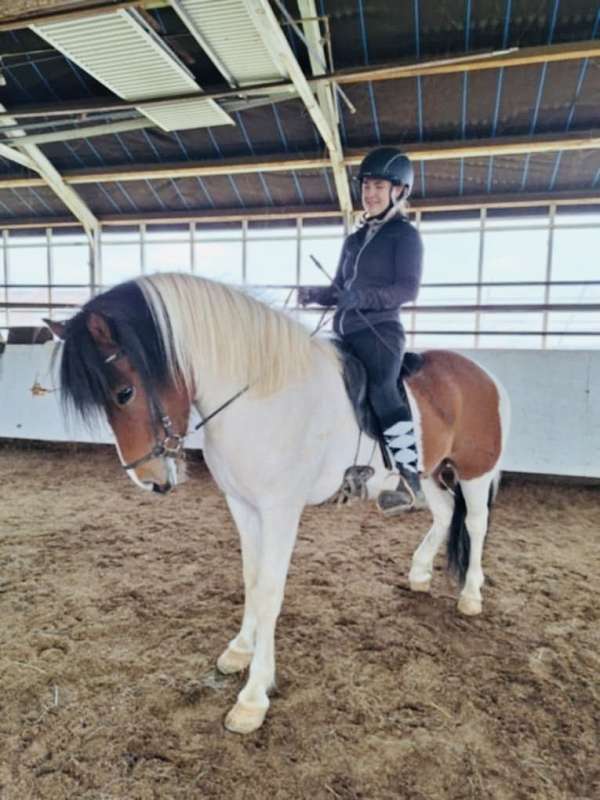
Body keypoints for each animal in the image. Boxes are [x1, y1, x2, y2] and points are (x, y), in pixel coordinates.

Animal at [47, 272, 510, 735]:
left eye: (124, 392)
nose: (149, 480)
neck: (259, 397)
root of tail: (484, 376)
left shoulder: (280, 511)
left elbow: (269, 592)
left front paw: (253, 698)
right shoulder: (242, 504)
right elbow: (251, 580)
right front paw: (239, 650)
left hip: (475, 471)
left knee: (476, 524)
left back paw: (471, 595)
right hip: (430, 472)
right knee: (445, 513)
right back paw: (419, 573)